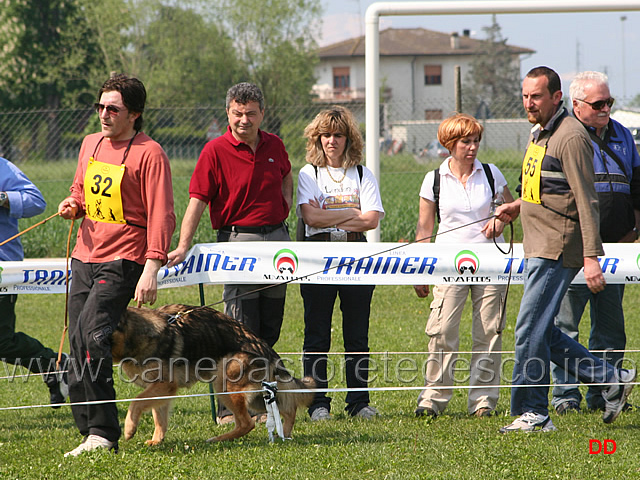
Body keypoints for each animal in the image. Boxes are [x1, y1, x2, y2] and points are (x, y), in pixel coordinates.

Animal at [112, 306, 318, 444]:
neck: (136, 332)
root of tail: (266, 349)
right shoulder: (161, 390)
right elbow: (159, 417)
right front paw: (157, 440)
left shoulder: (164, 384)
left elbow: (136, 402)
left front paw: (129, 429)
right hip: (257, 396)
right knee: (288, 408)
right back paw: (285, 434)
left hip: (224, 385)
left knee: (247, 423)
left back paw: (218, 439)